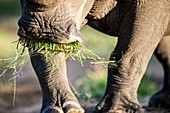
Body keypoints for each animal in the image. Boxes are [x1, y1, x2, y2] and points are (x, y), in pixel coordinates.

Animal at [17, 0, 170, 112]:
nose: (44, 30)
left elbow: (131, 53)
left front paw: (117, 110)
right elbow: (46, 60)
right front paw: (62, 110)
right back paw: (161, 102)